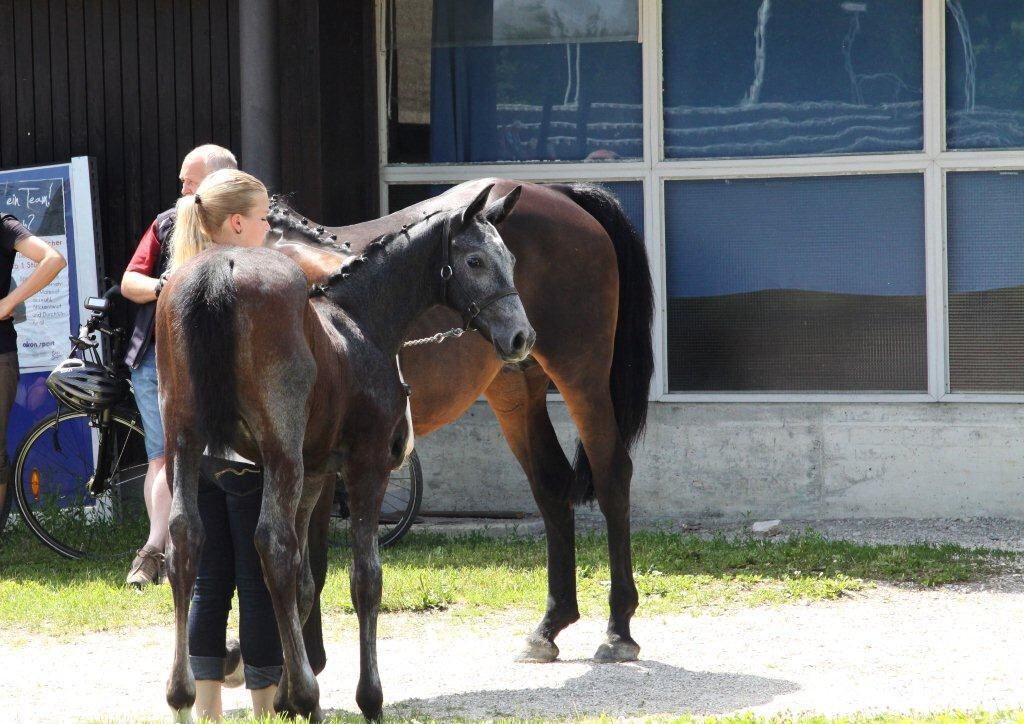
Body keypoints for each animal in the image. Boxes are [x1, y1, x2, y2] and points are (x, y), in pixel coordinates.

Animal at [157, 184, 536, 720]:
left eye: (511, 258)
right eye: (475, 260)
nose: (521, 337)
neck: (357, 321)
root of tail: (220, 270)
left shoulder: (317, 475)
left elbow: (304, 581)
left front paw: (286, 698)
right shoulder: (365, 467)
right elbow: (364, 579)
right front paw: (366, 697)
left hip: (186, 444)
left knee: (186, 540)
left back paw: (183, 695)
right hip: (279, 454)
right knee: (272, 545)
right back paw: (308, 695)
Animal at [268, 180, 651, 675]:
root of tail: (559, 192)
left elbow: (308, 562)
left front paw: (305, 660)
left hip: (582, 376)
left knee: (611, 475)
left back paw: (618, 628)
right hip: (515, 388)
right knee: (551, 484)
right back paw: (549, 626)